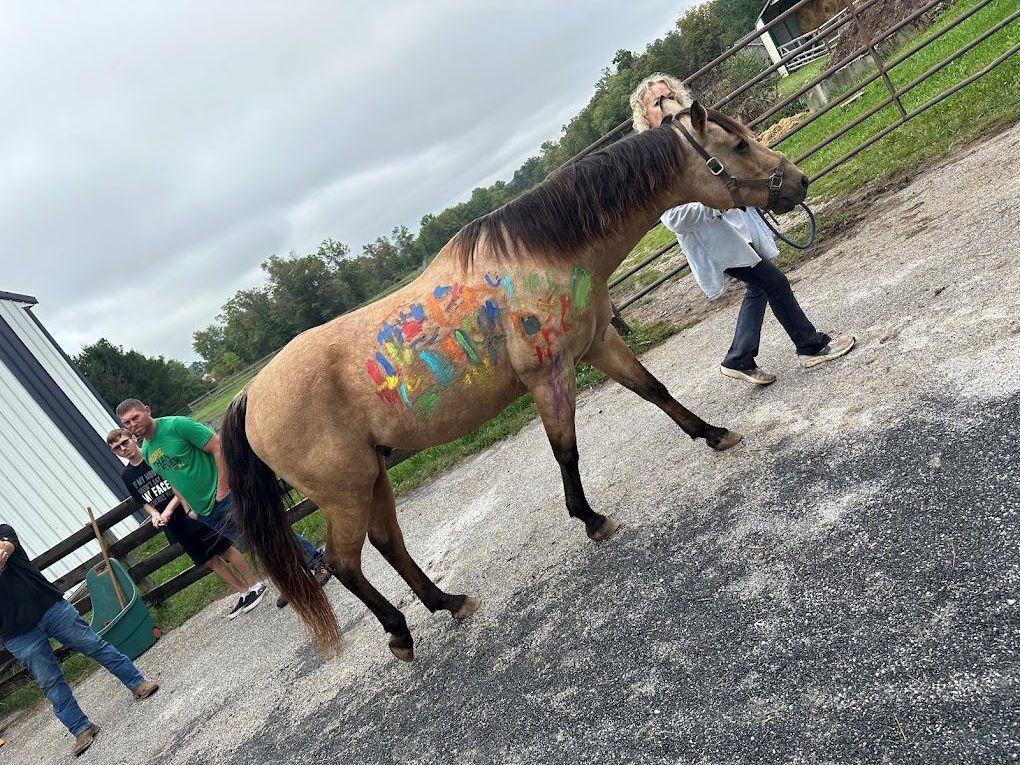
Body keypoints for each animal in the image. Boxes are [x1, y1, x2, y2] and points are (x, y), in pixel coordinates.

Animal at [220, 100, 810, 660]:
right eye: (737, 144)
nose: (797, 181)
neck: (544, 255)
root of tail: (251, 398)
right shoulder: (550, 375)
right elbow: (565, 449)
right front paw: (591, 519)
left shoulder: (598, 343)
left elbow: (655, 390)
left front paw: (713, 434)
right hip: (345, 490)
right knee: (345, 564)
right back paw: (400, 632)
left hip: (372, 475)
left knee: (388, 543)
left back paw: (449, 602)